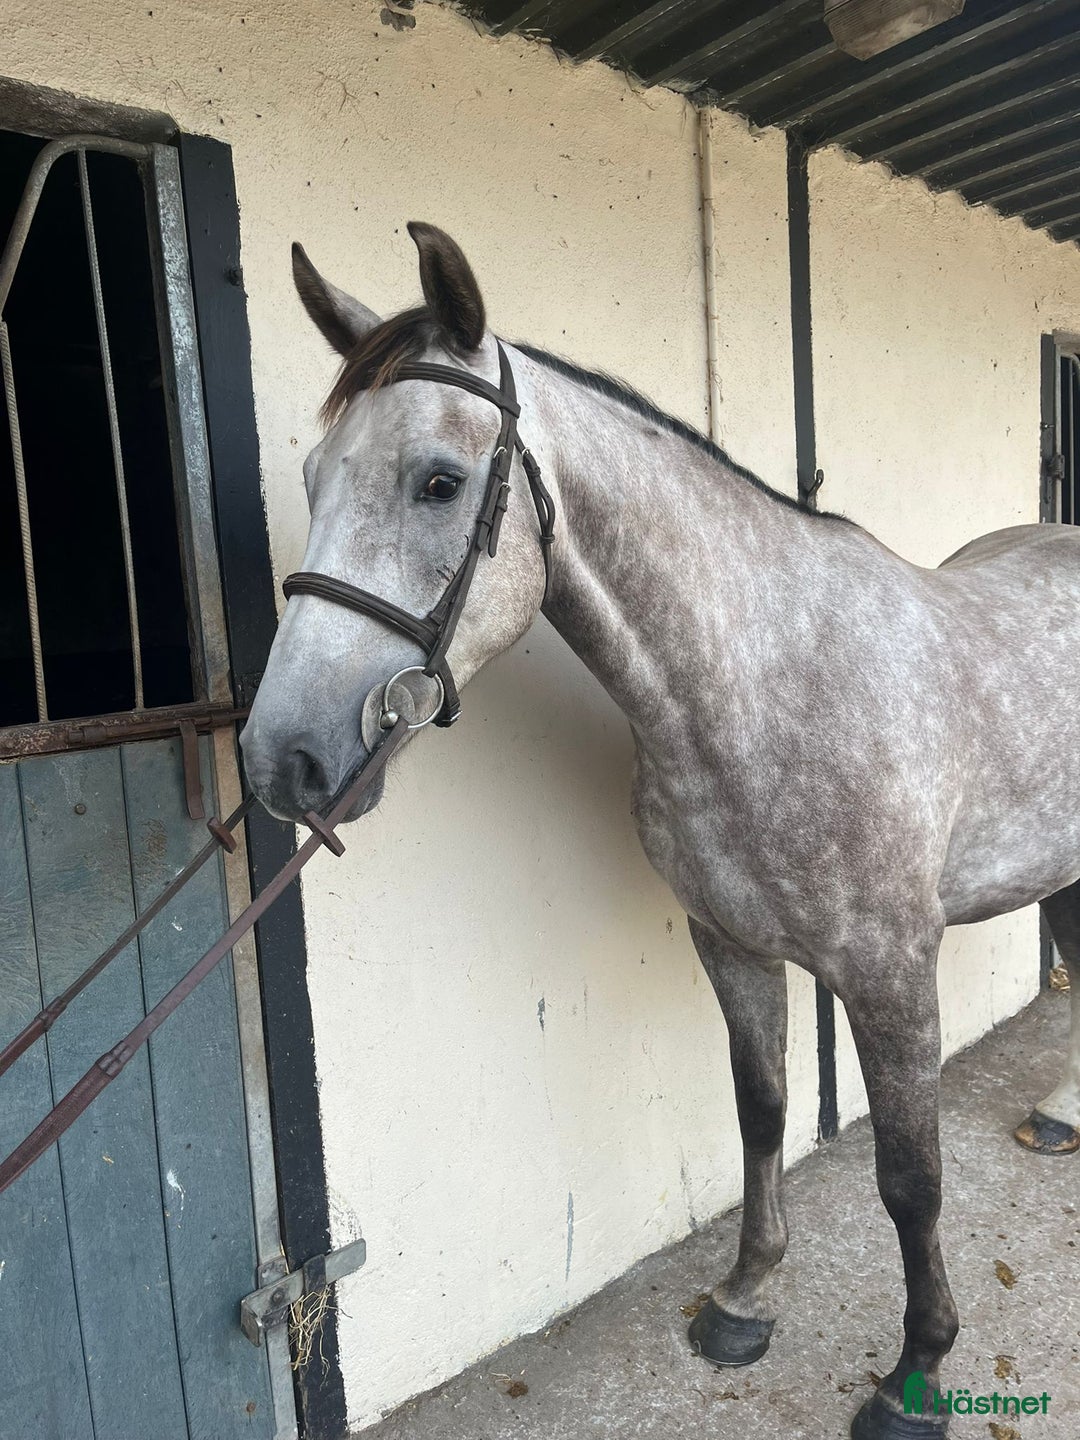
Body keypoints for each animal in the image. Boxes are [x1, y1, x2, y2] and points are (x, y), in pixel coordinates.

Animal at [240, 221, 1080, 1438]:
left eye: (439, 483)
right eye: (311, 477)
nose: (282, 759)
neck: (761, 680)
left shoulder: (887, 971)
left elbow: (910, 1178)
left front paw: (915, 1373)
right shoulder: (726, 941)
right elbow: (762, 1109)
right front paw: (741, 1299)